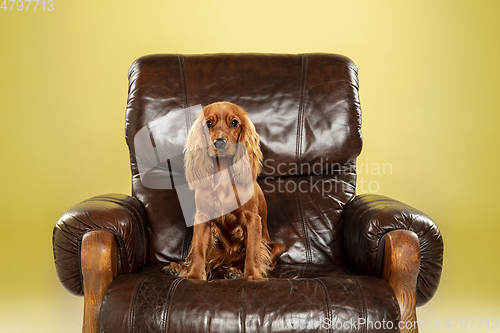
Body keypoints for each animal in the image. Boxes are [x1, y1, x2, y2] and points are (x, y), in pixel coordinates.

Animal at [164, 100, 286, 278]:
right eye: (209, 123)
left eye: (234, 123)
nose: (219, 143)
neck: (223, 175)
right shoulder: (202, 216)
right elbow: (199, 250)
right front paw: (194, 276)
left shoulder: (252, 218)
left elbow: (252, 252)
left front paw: (252, 276)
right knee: (197, 257)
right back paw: (179, 268)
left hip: (276, 246)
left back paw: (235, 271)